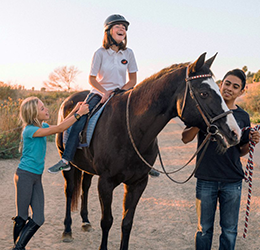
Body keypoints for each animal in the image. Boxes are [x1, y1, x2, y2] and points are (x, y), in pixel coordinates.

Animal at [55, 52, 241, 248]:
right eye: (204, 93)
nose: (235, 133)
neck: (129, 128)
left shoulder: (138, 183)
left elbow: (127, 223)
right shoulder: (106, 183)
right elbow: (107, 221)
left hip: (88, 168)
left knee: (85, 186)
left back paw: (85, 221)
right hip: (69, 166)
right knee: (69, 191)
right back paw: (67, 230)